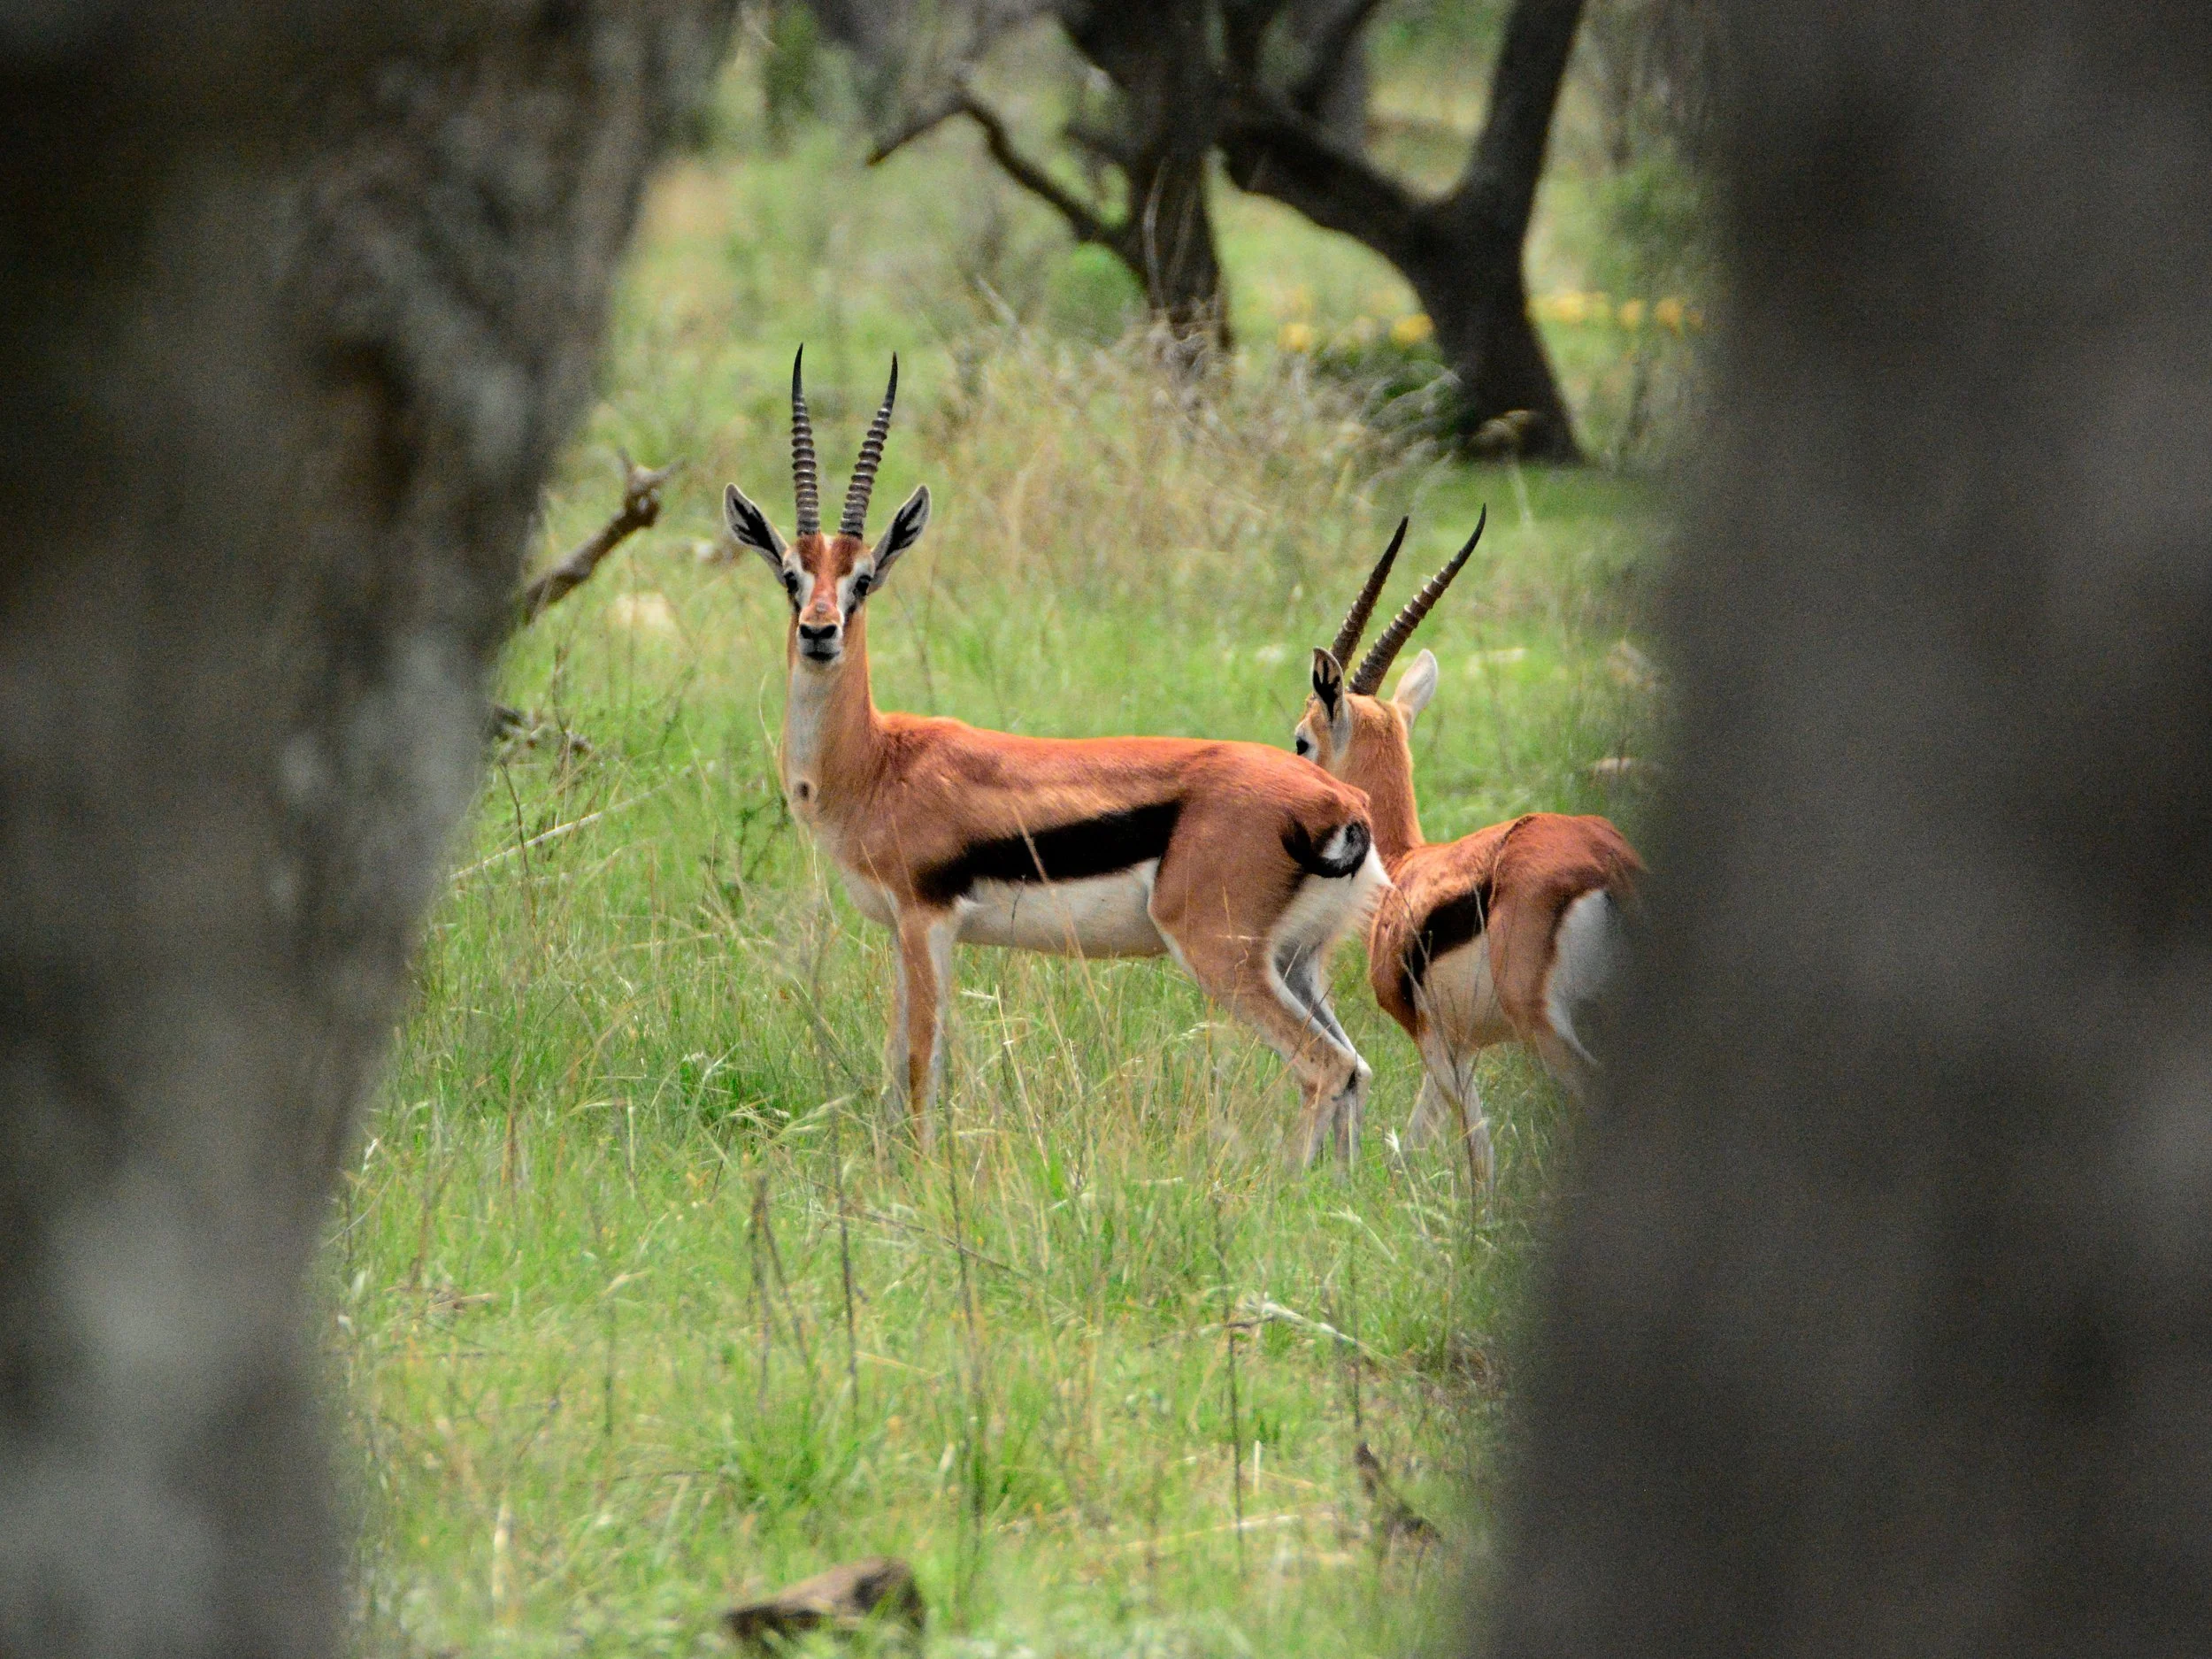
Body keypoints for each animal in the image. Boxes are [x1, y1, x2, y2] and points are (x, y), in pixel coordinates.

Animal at [723, 351, 1390, 1163]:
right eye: (791, 575)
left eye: (864, 579)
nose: (820, 632)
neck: (877, 762)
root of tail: (1343, 805)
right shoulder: (900, 931)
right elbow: (896, 1059)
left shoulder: (926, 920)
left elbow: (917, 1065)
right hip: (1298, 960)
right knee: (1356, 1067)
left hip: (1223, 955)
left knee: (1323, 1067)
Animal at [1293, 512, 1644, 1184]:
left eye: (1301, 741)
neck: (1407, 867)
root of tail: (1610, 867)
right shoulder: (1463, 1045)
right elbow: (1417, 1141)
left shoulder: (1435, 1039)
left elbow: (1477, 1152)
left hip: (1548, 1028)